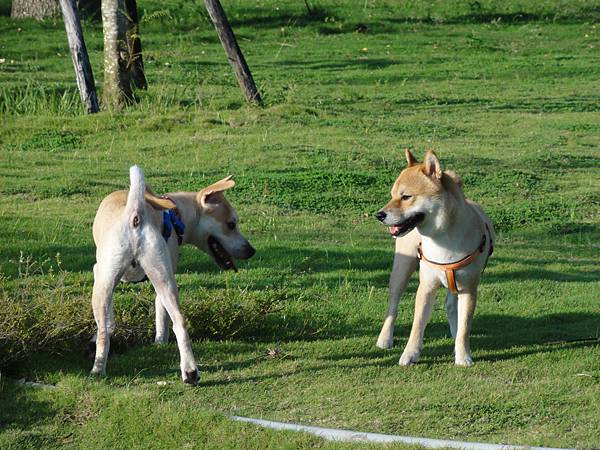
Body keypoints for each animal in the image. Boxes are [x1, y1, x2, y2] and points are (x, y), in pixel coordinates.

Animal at [90, 167, 254, 384]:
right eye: (231, 224)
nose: (251, 251)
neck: (176, 215)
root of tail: (135, 215)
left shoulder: (98, 271)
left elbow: (128, 318)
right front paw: (159, 341)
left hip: (109, 285)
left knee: (103, 334)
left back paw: (97, 369)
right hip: (163, 279)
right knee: (179, 322)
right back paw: (190, 372)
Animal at [378, 150, 494, 366]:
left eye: (406, 197)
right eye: (392, 195)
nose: (379, 215)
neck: (442, 238)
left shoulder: (469, 288)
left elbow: (465, 326)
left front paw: (463, 355)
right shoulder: (426, 287)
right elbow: (417, 326)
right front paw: (410, 354)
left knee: (451, 306)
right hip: (402, 269)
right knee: (393, 305)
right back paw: (385, 338)